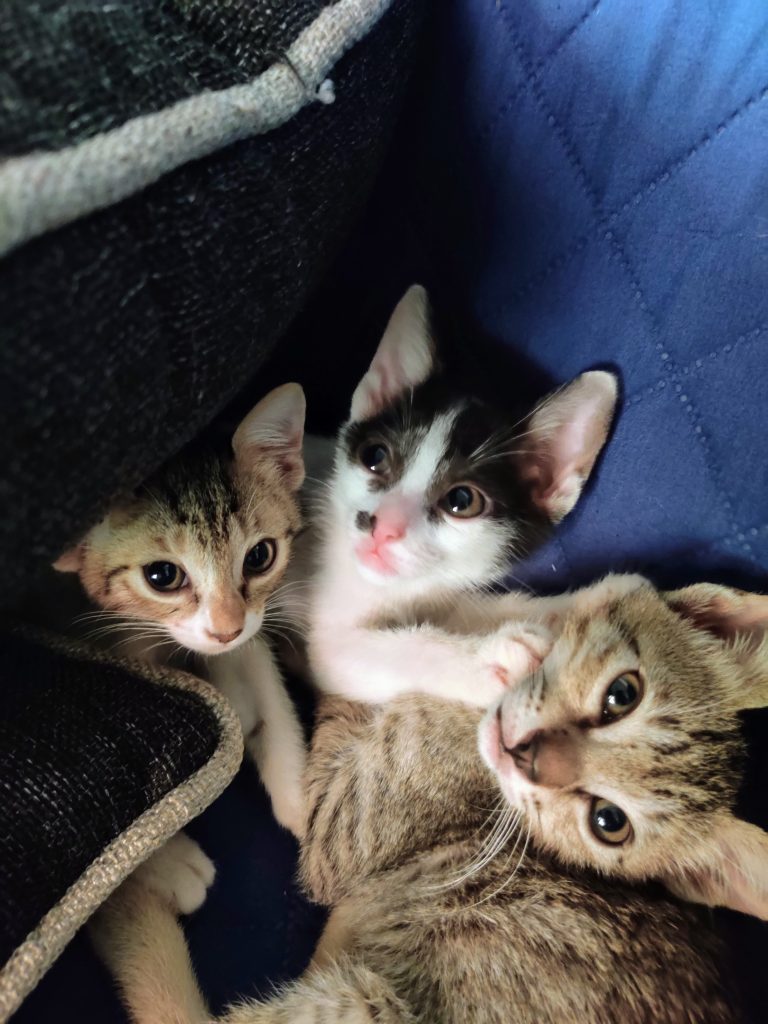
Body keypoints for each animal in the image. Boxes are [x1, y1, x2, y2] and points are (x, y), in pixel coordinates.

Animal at [91, 573, 768, 1019]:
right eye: (622, 694)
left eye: (608, 822)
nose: (528, 757)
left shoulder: (339, 826)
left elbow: (342, 680)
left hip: (368, 1003)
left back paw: (125, 891)